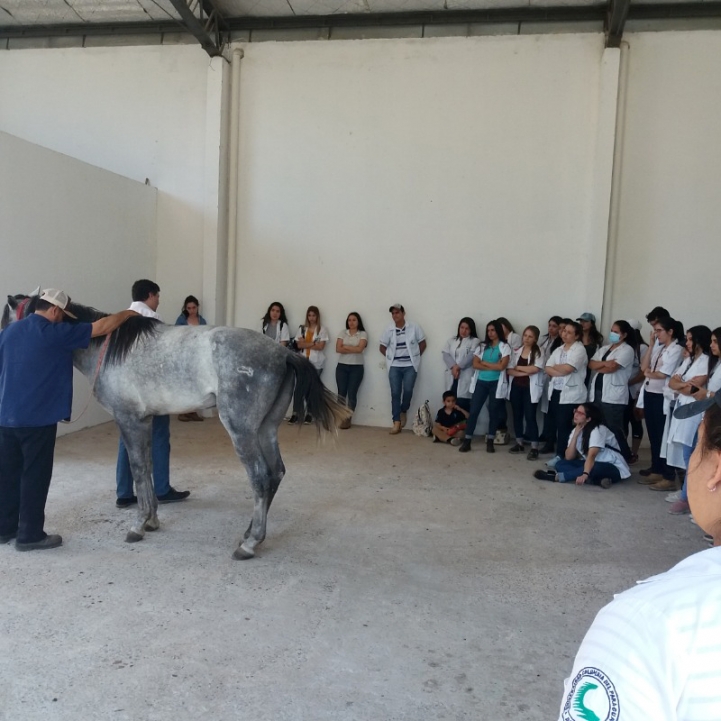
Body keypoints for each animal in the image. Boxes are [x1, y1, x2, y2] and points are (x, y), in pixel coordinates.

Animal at [2, 292, 346, 556]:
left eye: (6, 317)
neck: (107, 348)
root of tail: (282, 353)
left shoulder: (129, 420)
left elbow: (138, 468)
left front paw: (138, 525)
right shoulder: (145, 421)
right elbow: (148, 466)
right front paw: (152, 519)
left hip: (242, 430)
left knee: (260, 477)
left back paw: (248, 545)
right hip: (265, 429)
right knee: (276, 473)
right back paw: (251, 533)